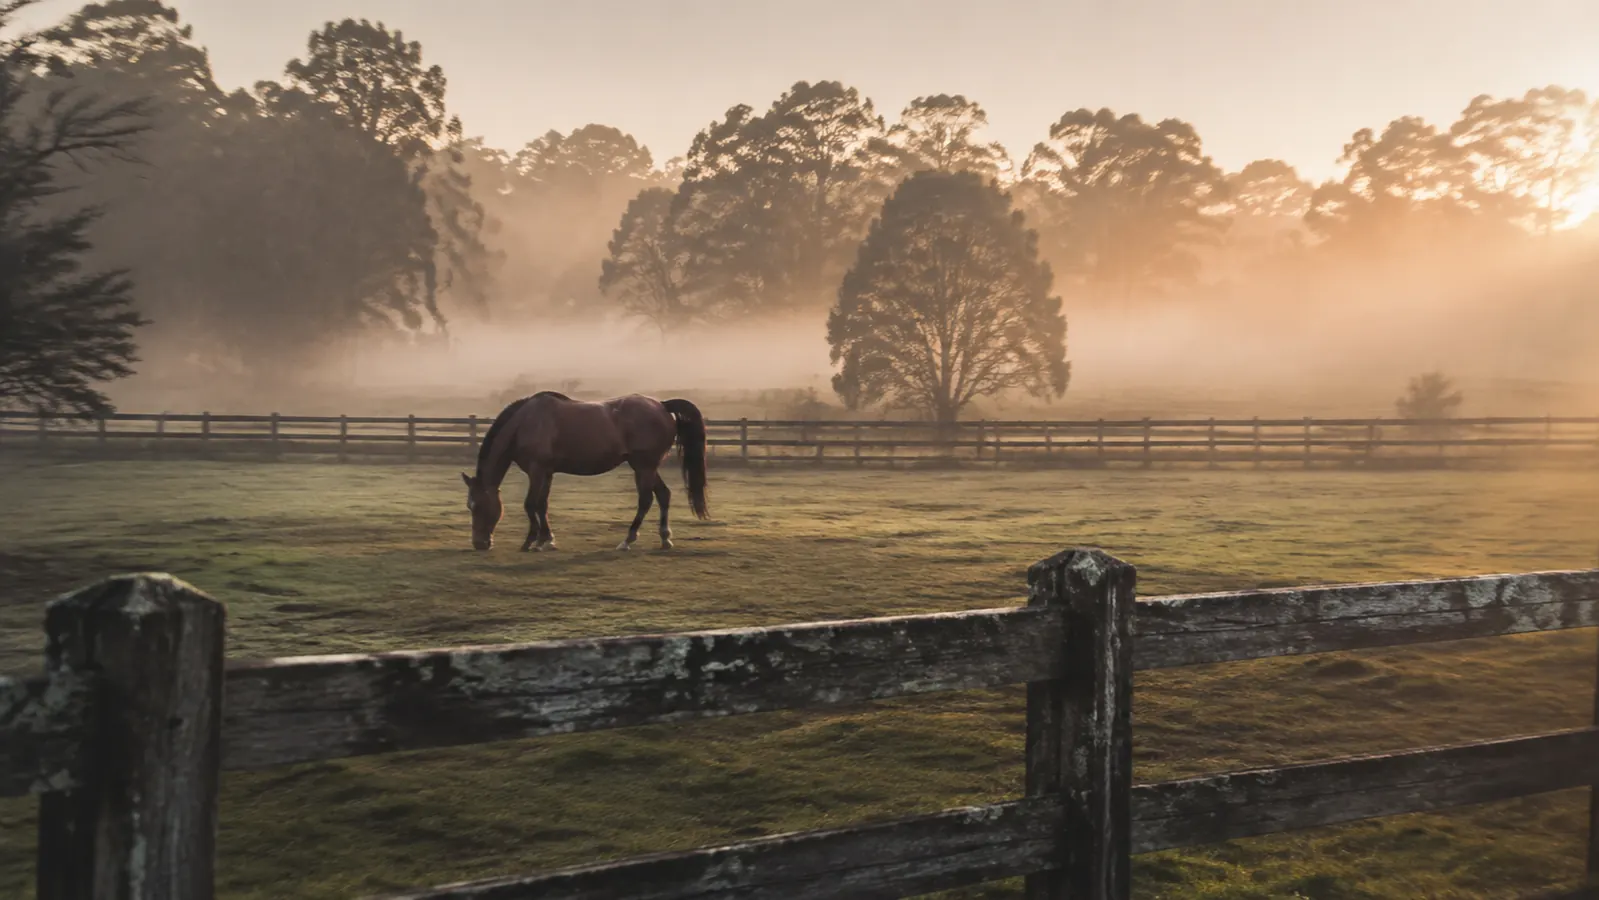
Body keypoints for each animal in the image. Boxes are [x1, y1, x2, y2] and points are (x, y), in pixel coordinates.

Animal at [460, 392, 710, 552]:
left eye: (477, 506)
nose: (479, 544)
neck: (525, 423)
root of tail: (662, 405)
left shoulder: (536, 470)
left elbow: (530, 504)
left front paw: (530, 541)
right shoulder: (547, 472)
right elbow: (542, 504)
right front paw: (546, 540)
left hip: (643, 466)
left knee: (646, 500)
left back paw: (628, 540)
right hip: (646, 466)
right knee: (664, 495)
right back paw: (665, 538)